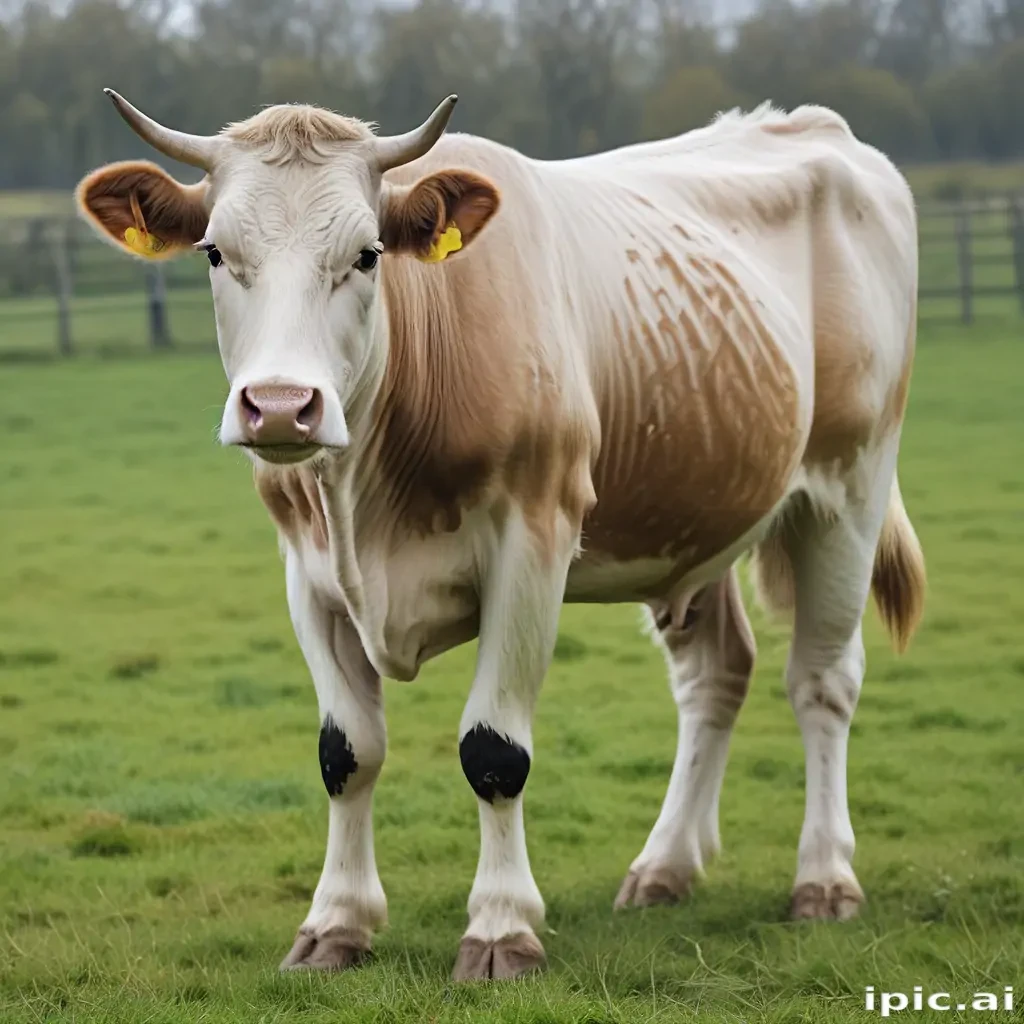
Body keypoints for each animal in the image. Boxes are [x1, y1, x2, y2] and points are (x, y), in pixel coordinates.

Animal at [75, 90, 926, 980]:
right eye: (214, 252)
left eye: (368, 255)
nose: (279, 406)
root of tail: (813, 125)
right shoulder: (308, 574)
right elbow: (347, 753)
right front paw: (336, 923)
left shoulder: (533, 546)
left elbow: (493, 750)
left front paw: (500, 928)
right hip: (695, 511)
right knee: (716, 675)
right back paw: (665, 867)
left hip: (848, 488)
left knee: (822, 682)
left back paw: (823, 878)